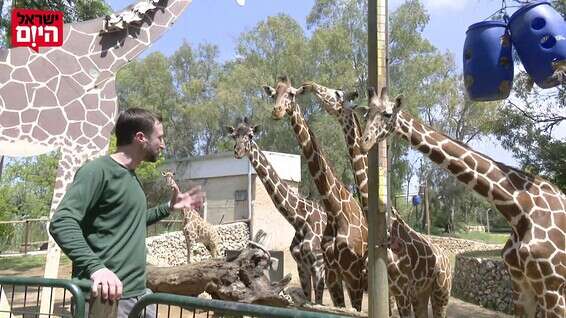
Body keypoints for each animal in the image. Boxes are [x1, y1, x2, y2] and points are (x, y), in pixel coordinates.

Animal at [227, 117, 328, 304]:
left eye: (251, 135)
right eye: (234, 135)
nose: (238, 151)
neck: (300, 220)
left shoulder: (319, 265)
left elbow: (317, 303)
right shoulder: (302, 265)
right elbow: (307, 301)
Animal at [264, 76, 370, 310]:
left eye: (291, 94)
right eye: (274, 93)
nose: (276, 111)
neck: (335, 210)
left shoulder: (346, 272)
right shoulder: (328, 271)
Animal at [304, 80, 454, 316]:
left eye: (337, 94)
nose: (309, 85)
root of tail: (447, 257)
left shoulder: (398, 289)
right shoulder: (389, 289)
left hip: (442, 292)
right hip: (422, 294)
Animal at [362, 85, 564, 316]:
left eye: (387, 114)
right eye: (366, 113)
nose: (364, 142)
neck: (519, 210)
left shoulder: (553, 287)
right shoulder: (521, 284)